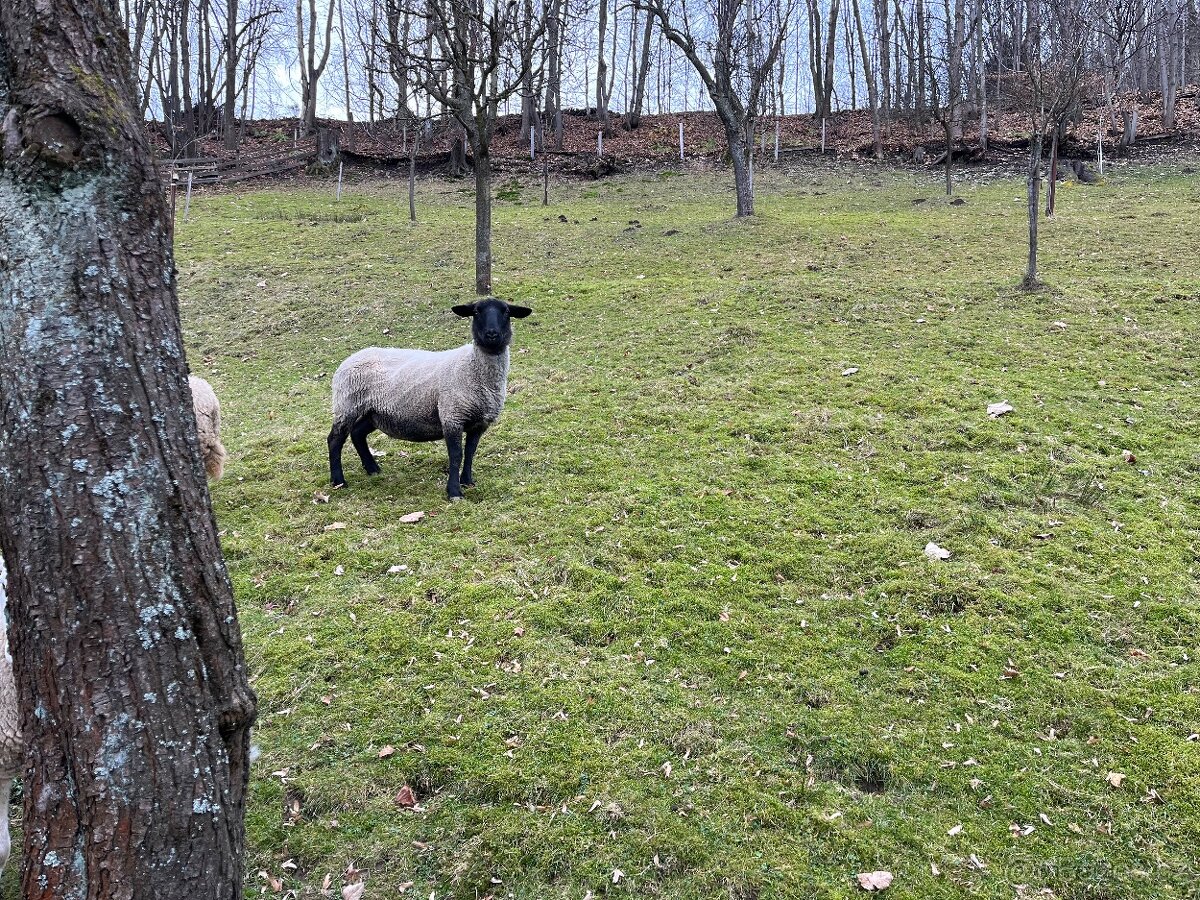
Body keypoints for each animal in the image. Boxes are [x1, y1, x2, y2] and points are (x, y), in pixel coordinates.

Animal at [328, 298, 533, 500]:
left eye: (506, 312)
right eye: (476, 312)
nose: (492, 334)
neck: (473, 368)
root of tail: (350, 358)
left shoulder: (480, 422)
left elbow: (470, 452)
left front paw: (467, 481)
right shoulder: (452, 415)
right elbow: (456, 455)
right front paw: (454, 492)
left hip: (374, 412)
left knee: (357, 433)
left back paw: (372, 469)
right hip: (347, 405)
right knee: (335, 440)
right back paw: (339, 481)